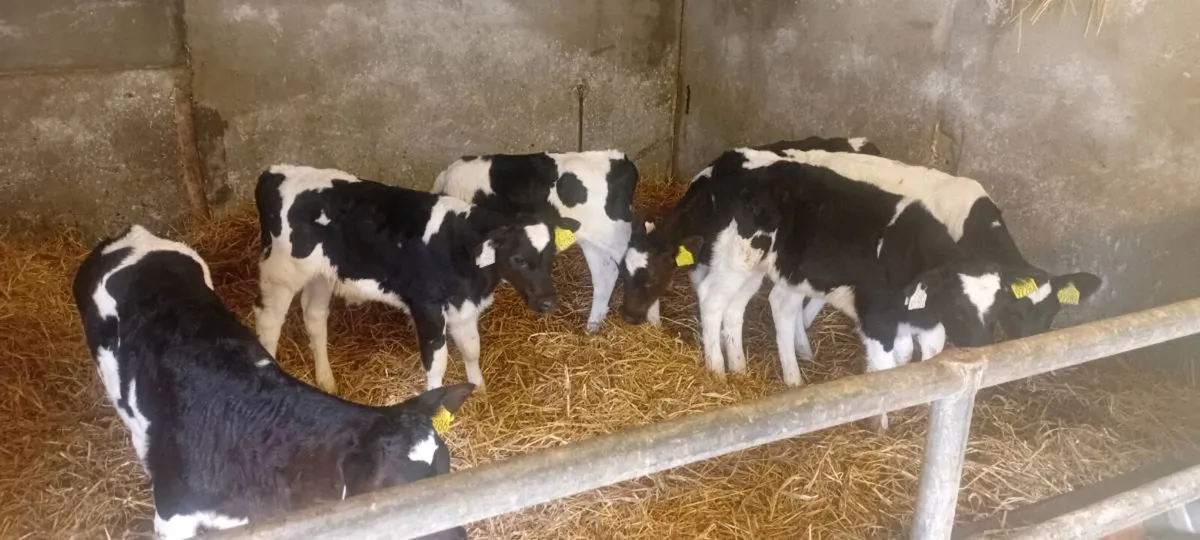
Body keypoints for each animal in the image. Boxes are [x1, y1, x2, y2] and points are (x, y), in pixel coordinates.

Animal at [254, 165, 580, 394]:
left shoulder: (463, 306)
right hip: (281, 273)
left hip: (321, 274)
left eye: (552, 255)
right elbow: (437, 362)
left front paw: (480, 391)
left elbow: (472, 349)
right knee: (269, 322)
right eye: (518, 259)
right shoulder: (427, 307)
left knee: (315, 317)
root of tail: (277, 172)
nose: (549, 302)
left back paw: (326, 380)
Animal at [433, 150, 638, 333]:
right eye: (518, 259)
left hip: (616, 237)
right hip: (591, 239)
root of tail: (621, 160)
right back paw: (593, 326)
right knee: (605, 274)